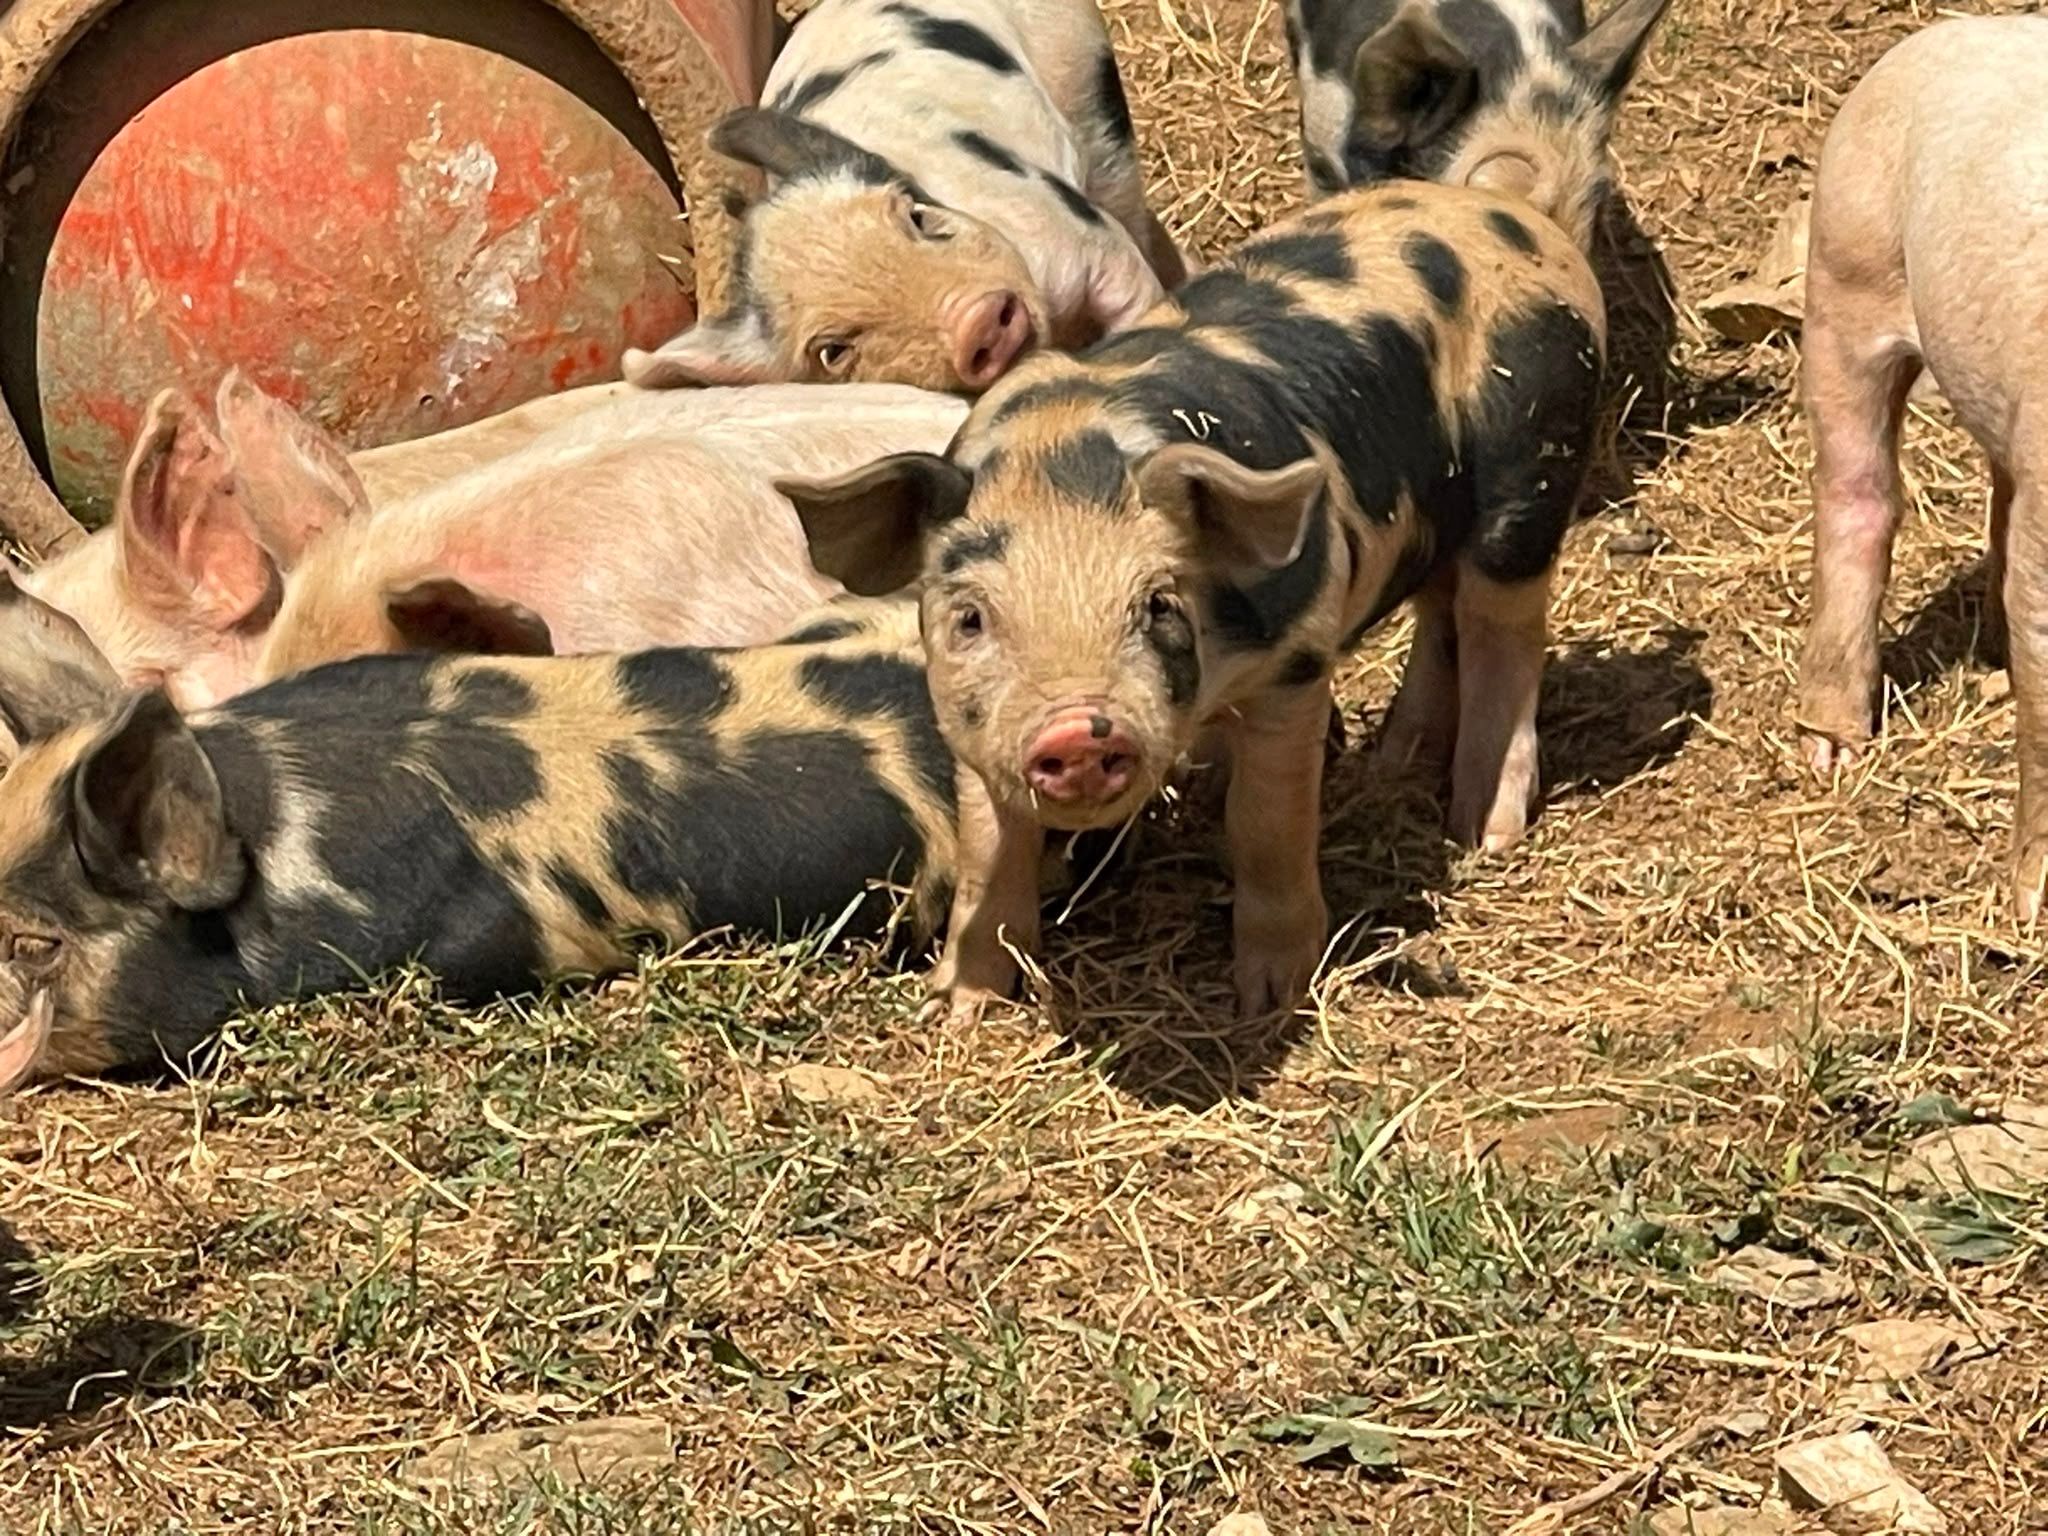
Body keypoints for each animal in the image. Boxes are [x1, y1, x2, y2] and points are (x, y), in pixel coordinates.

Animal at [621, 0, 1189, 395]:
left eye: (918, 218)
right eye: (834, 351)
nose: (976, 318)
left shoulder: (1072, 231)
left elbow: (1133, 288)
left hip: (1088, 83)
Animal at [780, 182, 1606, 1021]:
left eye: (1158, 605)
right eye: (971, 618)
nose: (1077, 730)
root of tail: (1512, 215)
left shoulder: (1297, 659)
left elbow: (1265, 823)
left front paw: (1269, 998)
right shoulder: (969, 732)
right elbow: (989, 849)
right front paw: (961, 1006)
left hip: (1531, 465)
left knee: (1504, 630)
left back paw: (1483, 831)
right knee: (1441, 615)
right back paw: (1394, 764)